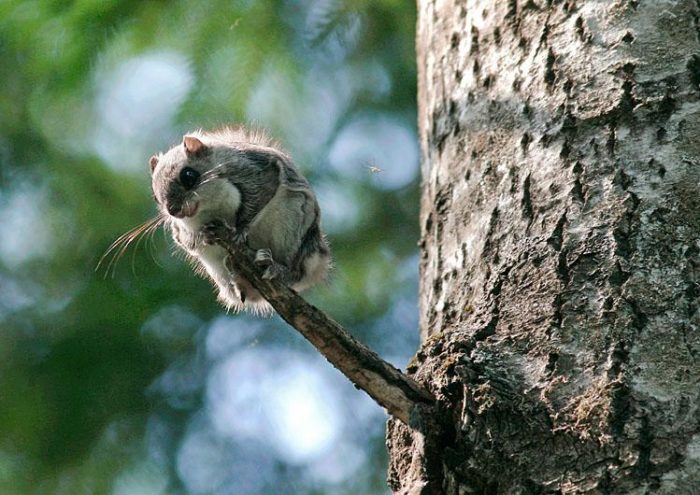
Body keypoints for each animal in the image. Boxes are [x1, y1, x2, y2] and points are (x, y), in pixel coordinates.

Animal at [147, 128, 330, 314]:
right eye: (155, 196)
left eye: (188, 175)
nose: (173, 210)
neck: (209, 207)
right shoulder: (180, 230)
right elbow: (187, 242)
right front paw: (203, 236)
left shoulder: (254, 170)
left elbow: (261, 194)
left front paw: (241, 230)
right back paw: (242, 280)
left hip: (293, 224)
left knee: (297, 273)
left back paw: (279, 269)